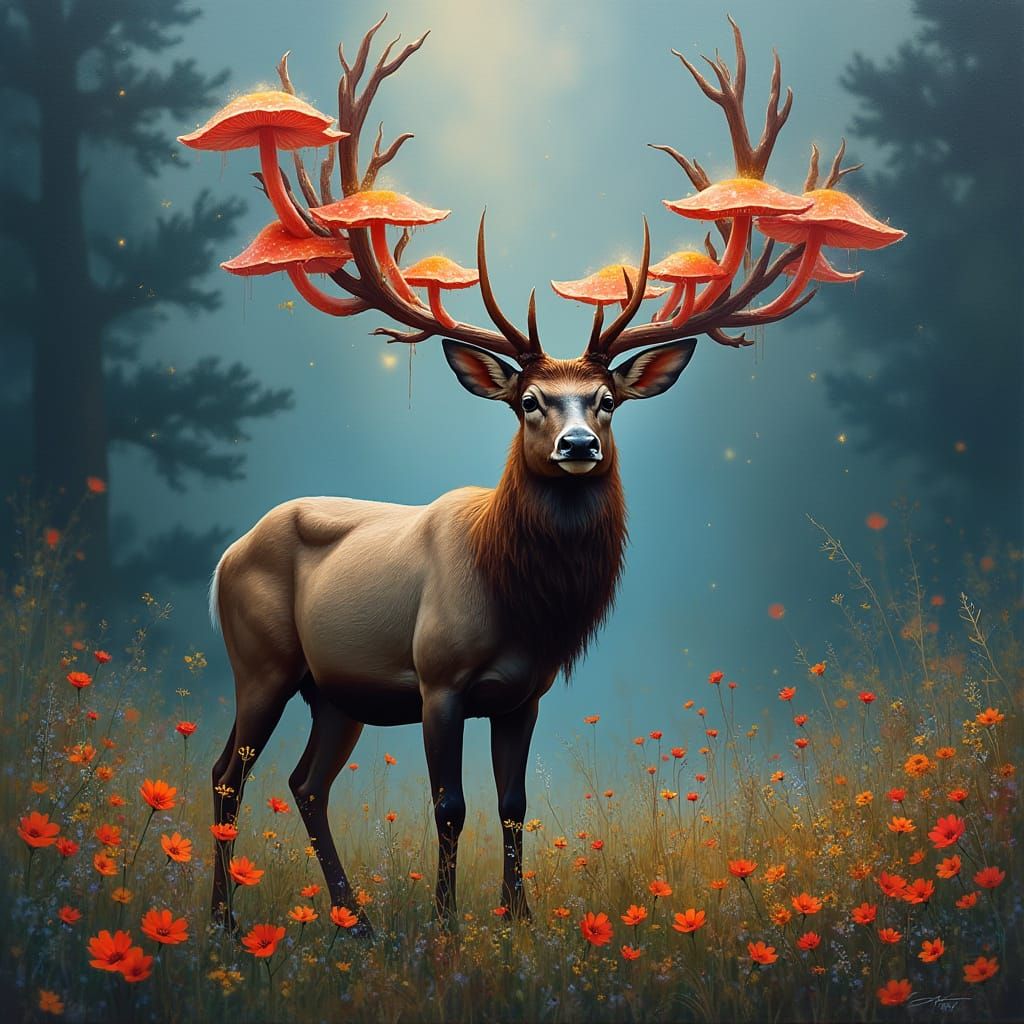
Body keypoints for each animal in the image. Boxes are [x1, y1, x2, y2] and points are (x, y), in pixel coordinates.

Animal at [194, 16, 892, 934]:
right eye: (528, 400)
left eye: (606, 400)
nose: (577, 446)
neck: (522, 600)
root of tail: (225, 555)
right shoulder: (438, 677)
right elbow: (449, 805)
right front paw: (449, 927)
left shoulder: (525, 693)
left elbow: (514, 804)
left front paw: (517, 921)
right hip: (262, 660)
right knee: (226, 775)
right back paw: (226, 922)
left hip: (336, 690)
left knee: (307, 784)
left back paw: (357, 921)